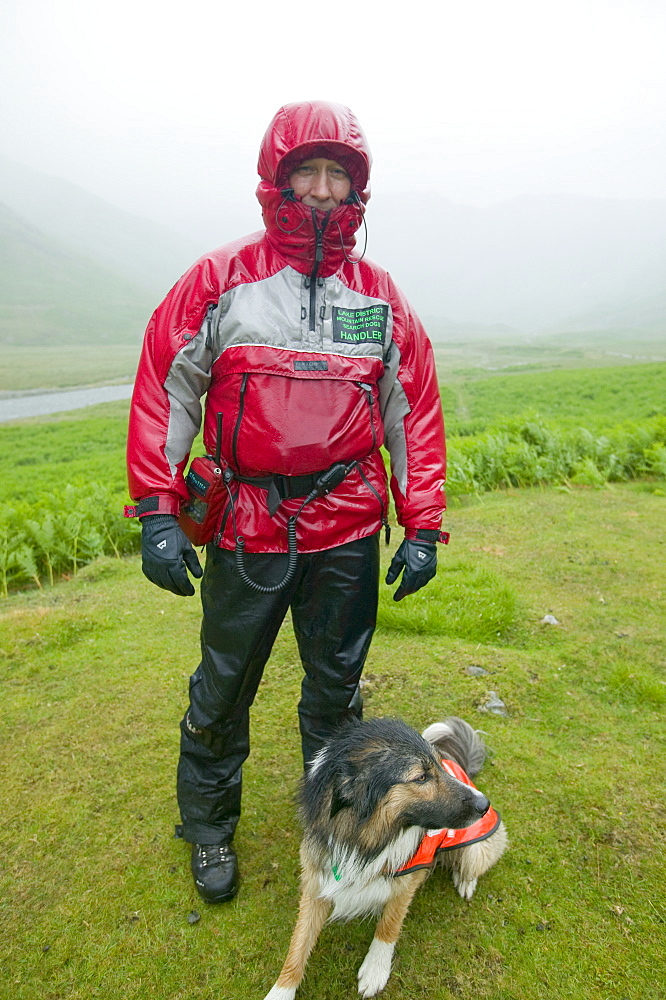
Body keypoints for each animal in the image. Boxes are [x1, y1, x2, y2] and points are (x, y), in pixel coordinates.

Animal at [262, 716, 506, 996]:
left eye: (438, 765)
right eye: (421, 777)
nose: (484, 804)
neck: (365, 839)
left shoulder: (406, 883)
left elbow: (389, 925)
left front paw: (375, 969)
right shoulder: (317, 881)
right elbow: (299, 943)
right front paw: (281, 990)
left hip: (475, 849)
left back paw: (465, 880)